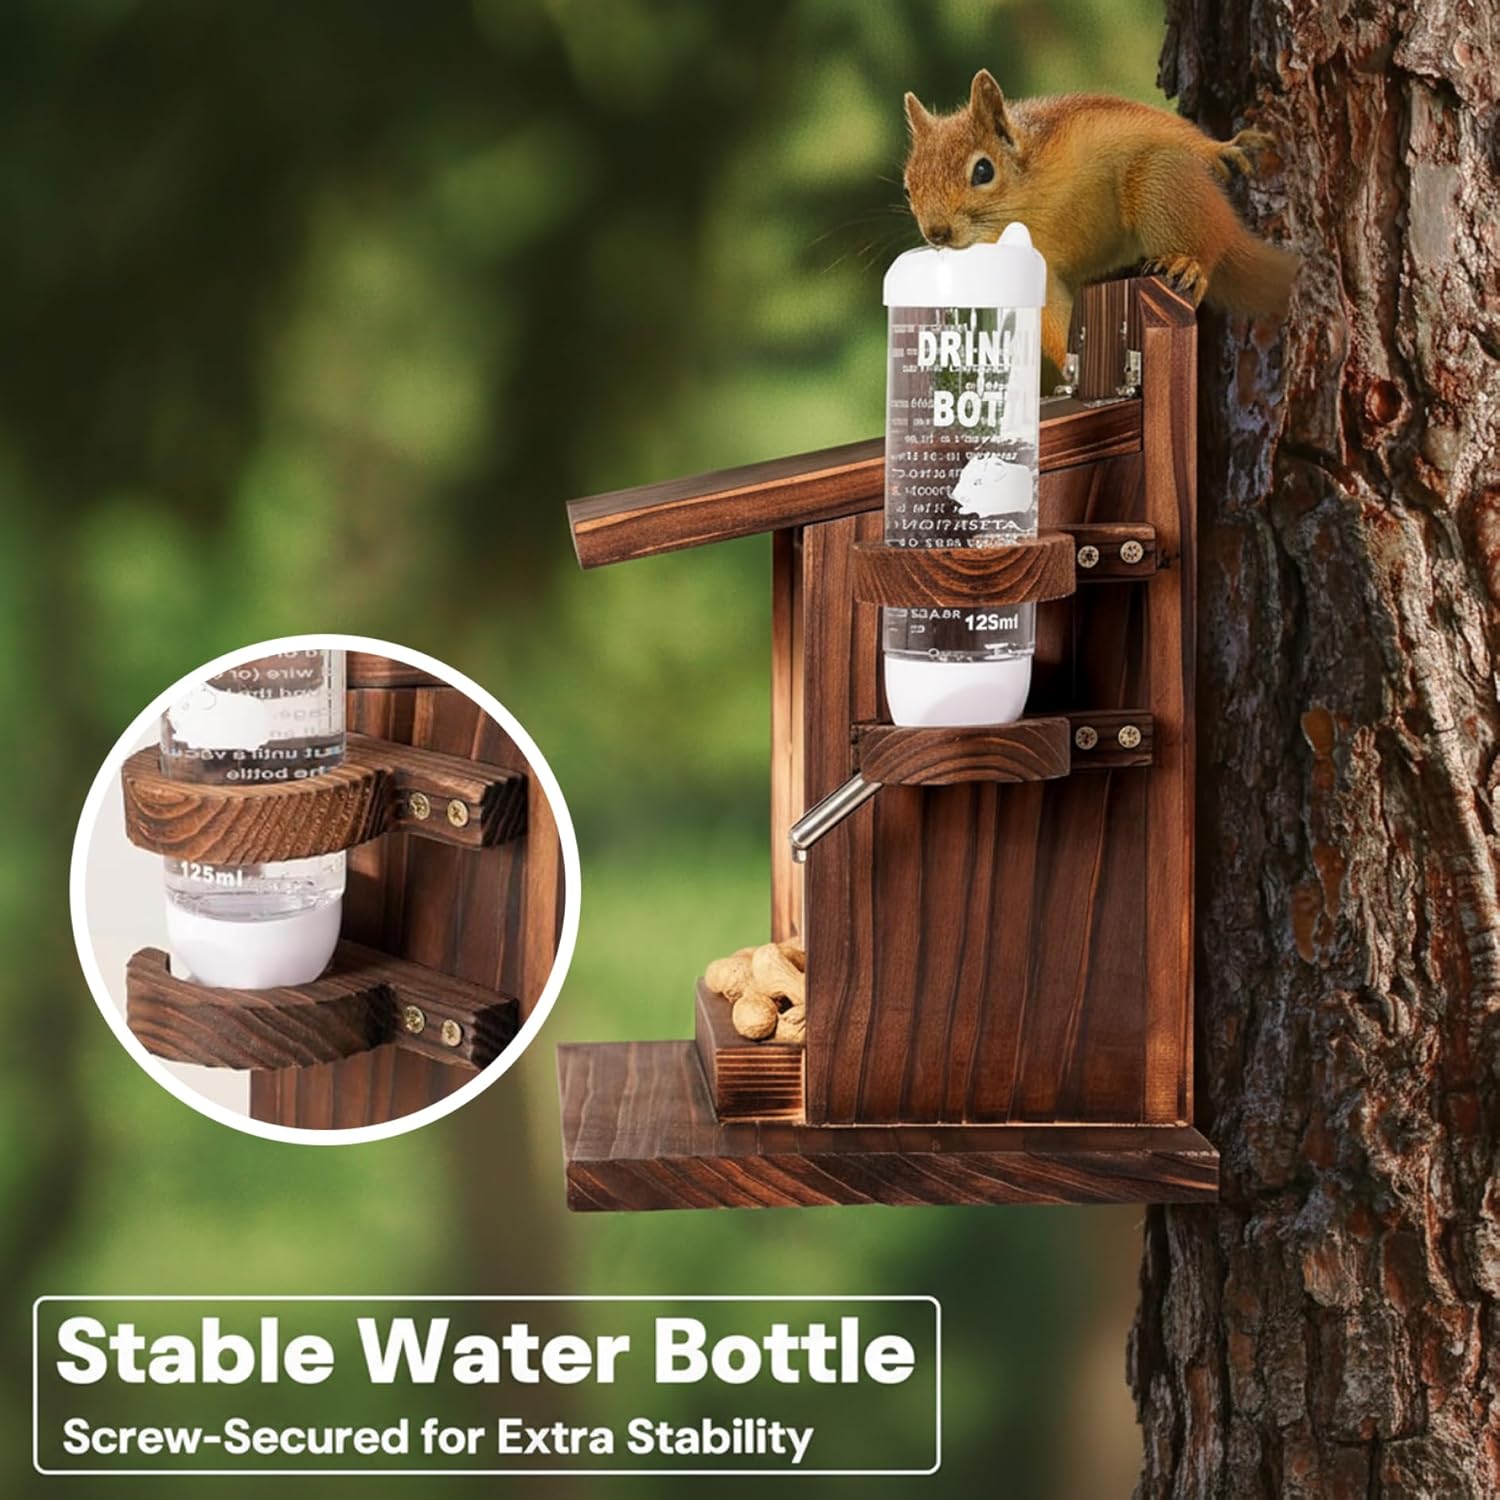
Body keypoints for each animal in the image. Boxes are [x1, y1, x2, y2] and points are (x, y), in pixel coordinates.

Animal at [902, 71, 1298, 374]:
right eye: (909, 187)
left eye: (983, 171)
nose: (937, 232)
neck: (1028, 209)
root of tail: (1230, 226)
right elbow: (1053, 316)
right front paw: (1070, 368)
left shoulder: (1092, 120)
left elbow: (1164, 126)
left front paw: (1221, 149)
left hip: (1160, 178)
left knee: (1204, 240)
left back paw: (1188, 261)